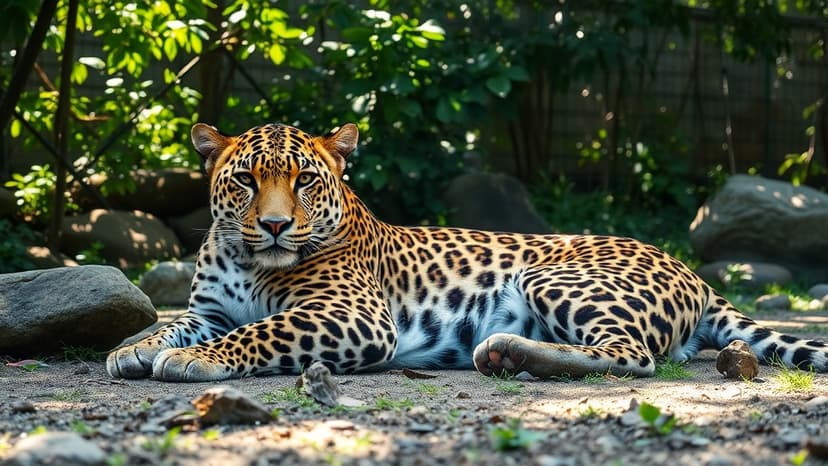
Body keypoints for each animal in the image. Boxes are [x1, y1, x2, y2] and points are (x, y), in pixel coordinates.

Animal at [106, 122, 828, 382]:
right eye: (247, 181)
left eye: (305, 179)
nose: (278, 225)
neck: (250, 257)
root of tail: (693, 274)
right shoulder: (209, 308)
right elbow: (174, 322)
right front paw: (133, 349)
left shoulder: (350, 316)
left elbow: (260, 331)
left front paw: (193, 360)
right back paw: (507, 353)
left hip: (557, 278)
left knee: (633, 357)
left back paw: (512, 352)